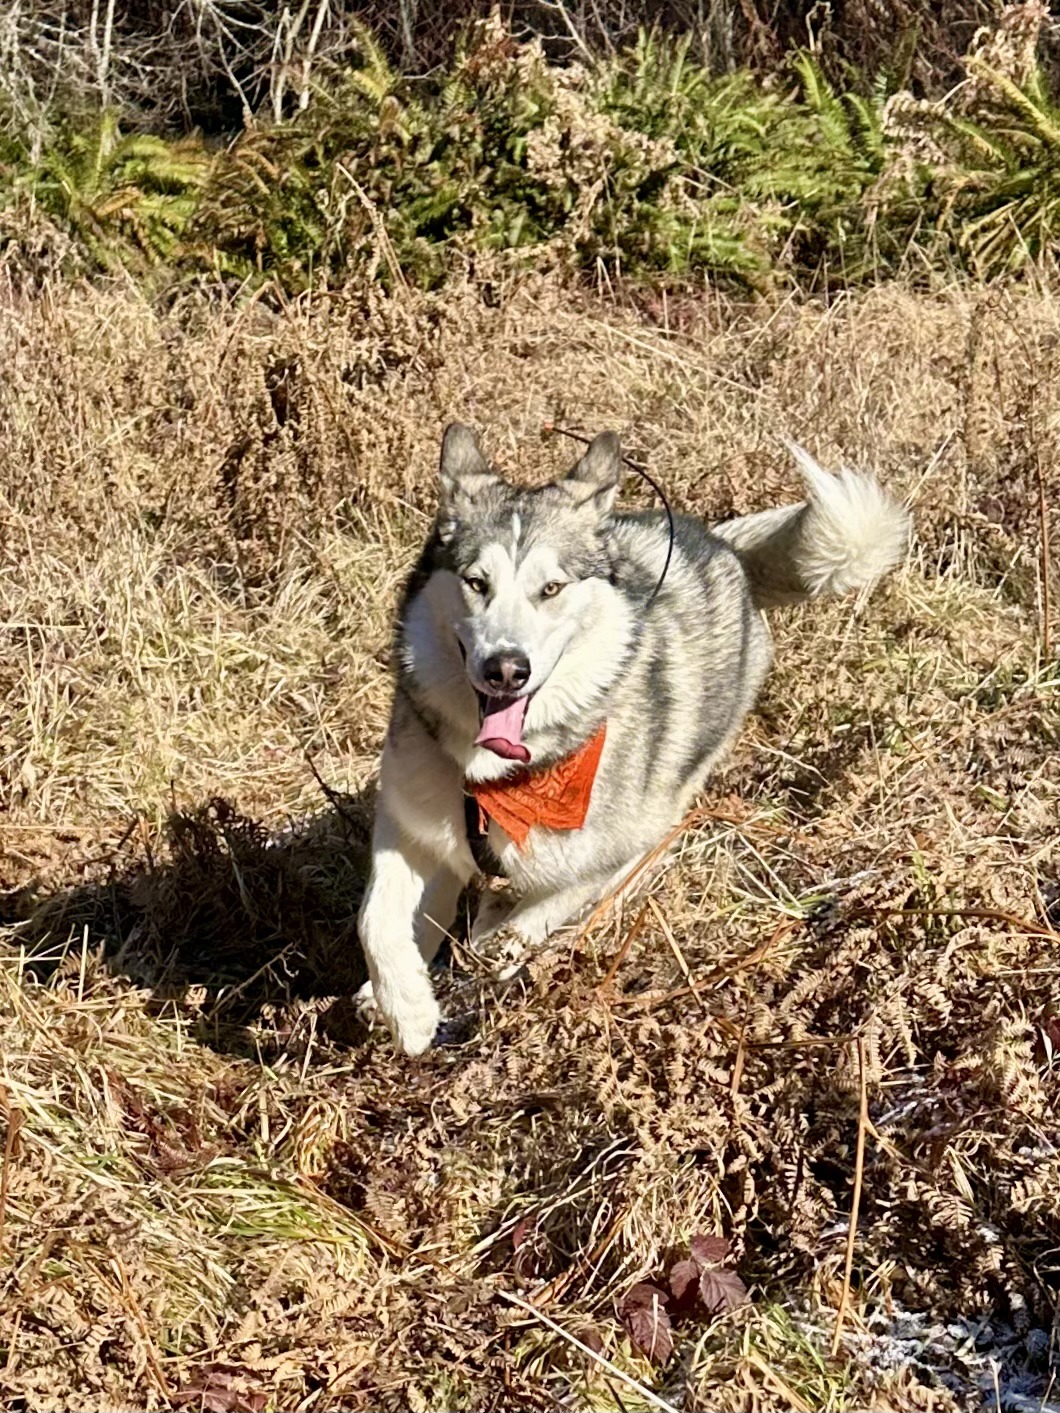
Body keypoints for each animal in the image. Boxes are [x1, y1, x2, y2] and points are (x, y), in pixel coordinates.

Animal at [357, 423, 915, 1056]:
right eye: (477, 583)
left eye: (552, 588)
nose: (506, 669)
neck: (500, 776)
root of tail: (716, 542)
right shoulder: (412, 820)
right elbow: (377, 921)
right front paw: (407, 1009)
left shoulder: (608, 849)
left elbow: (533, 919)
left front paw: (493, 950)